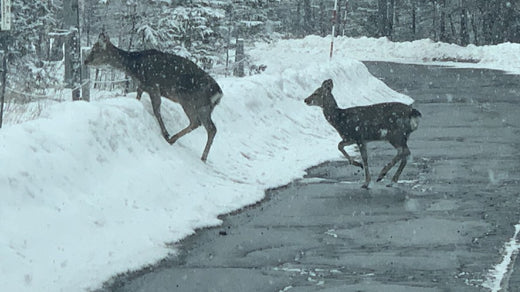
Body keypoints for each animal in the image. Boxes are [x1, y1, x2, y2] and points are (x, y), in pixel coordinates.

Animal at [85, 33, 221, 162]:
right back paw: (202, 156)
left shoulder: (153, 86)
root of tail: (218, 93)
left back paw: (173, 140)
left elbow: (156, 110)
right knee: (211, 128)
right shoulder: (142, 86)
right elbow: (138, 98)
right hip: (205, 108)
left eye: (95, 50)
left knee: (198, 123)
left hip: (191, 102)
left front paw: (165, 133)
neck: (134, 68)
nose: (85, 61)